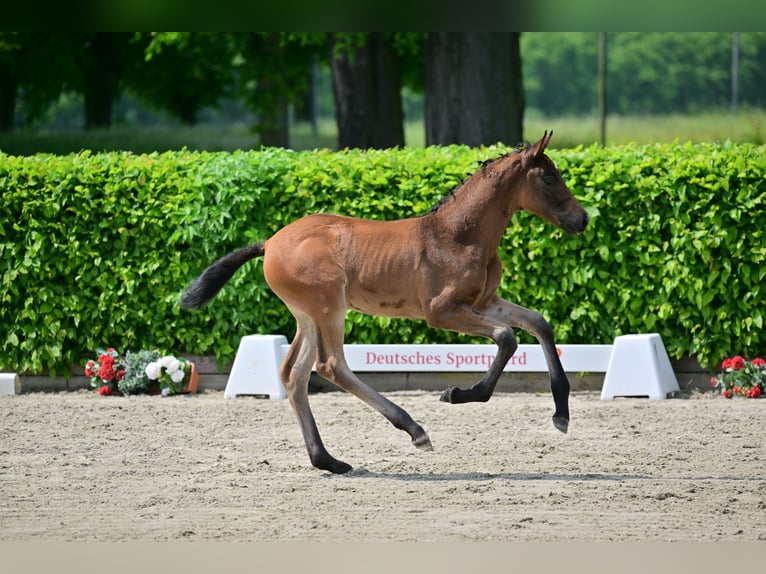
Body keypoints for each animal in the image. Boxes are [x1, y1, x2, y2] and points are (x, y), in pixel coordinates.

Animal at [183, 133, 592, 474]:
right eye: (549, 178)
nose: (583, 219)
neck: (458, 235)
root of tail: (269, 243)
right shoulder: (442, 312)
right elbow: (507, 337)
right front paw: (459, 394)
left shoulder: (484, 301)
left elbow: (538, 322)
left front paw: (561, 413)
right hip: (329, 306)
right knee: (330, 365)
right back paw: (413, 429)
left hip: (307, 315)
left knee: (293, 374)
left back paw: (328, 460)